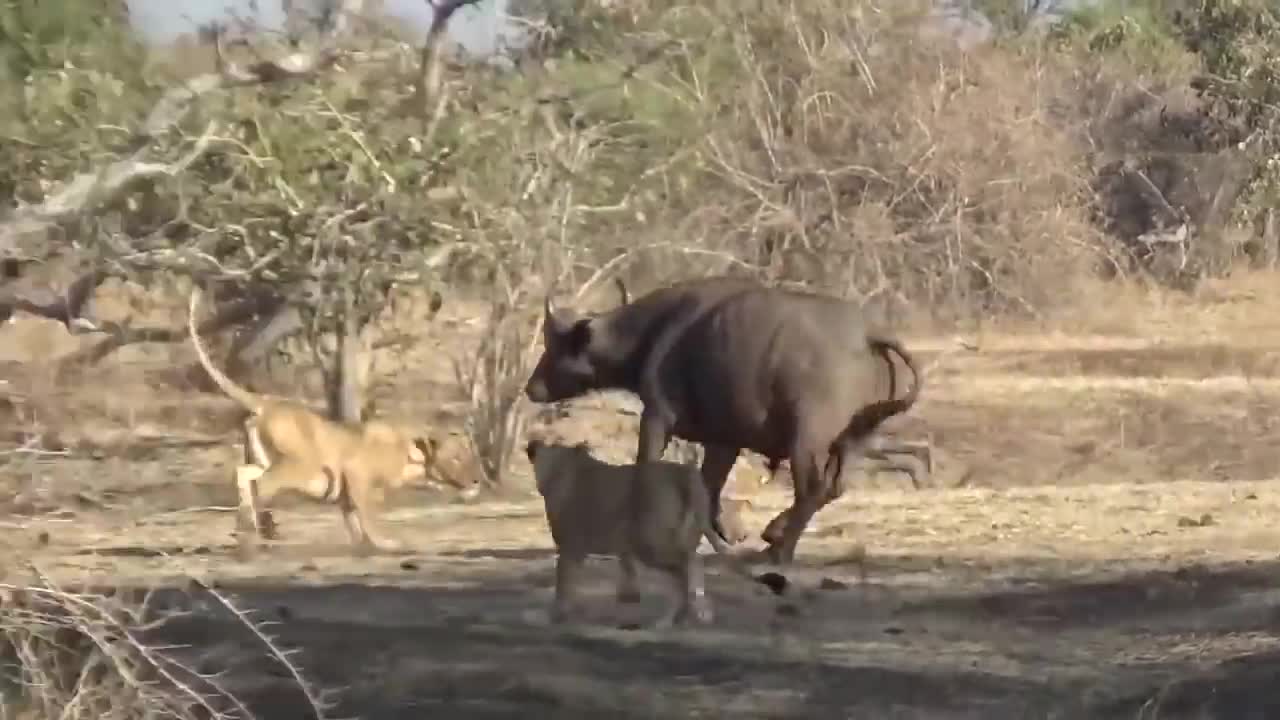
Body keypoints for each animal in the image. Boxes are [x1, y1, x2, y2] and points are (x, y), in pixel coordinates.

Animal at [519, 278, 921, 563]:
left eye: (556, 346)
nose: (531, 387)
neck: (653, 332)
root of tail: (868, 334)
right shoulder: (724, 440)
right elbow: (707, 486)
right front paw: (719, 533)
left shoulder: (657, 416)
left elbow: (647, 466)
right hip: (854, 440)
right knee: (833, 487)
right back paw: (773, 535)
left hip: (807, 440)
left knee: (812, 488)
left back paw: (777, 550)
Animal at [522, 435, 783, 625]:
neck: (561, 467)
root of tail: (685, 472)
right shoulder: (580, 548)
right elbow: (570, 583)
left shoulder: (570, 545)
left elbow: (563, 583)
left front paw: (555, 615)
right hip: (678, 537)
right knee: (693, 564)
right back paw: (693, 615)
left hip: (649, 542)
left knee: (682, 570)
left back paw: (670, 619)